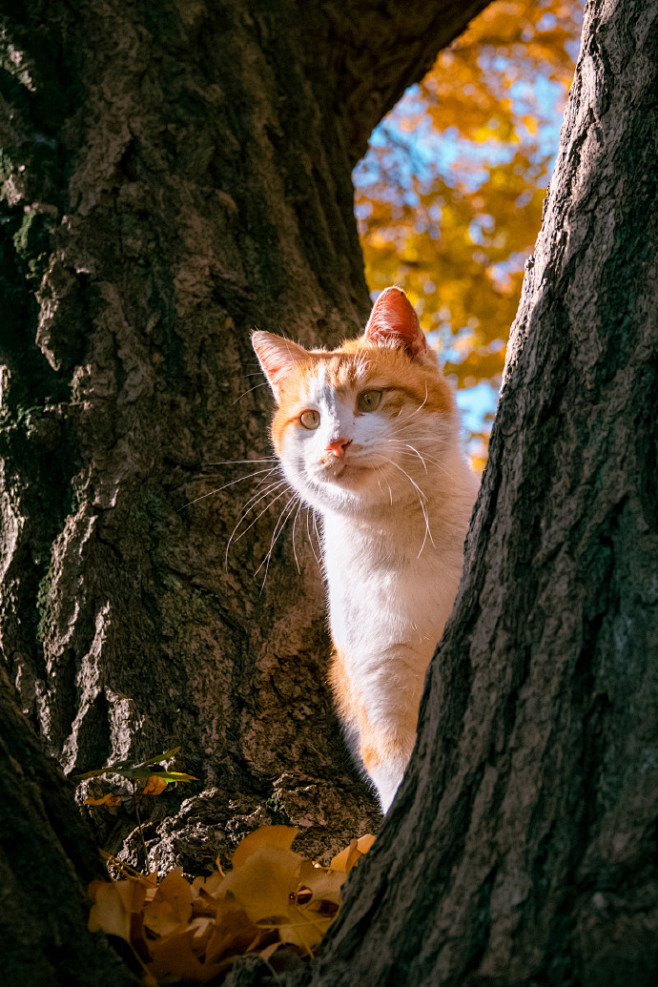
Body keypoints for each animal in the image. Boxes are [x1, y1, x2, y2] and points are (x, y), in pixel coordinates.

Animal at [252, 286, 476, 812]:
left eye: (370, 399)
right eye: (310, 419)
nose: (337, 444)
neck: (401, 533)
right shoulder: (382, 694)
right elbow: (397, 782)